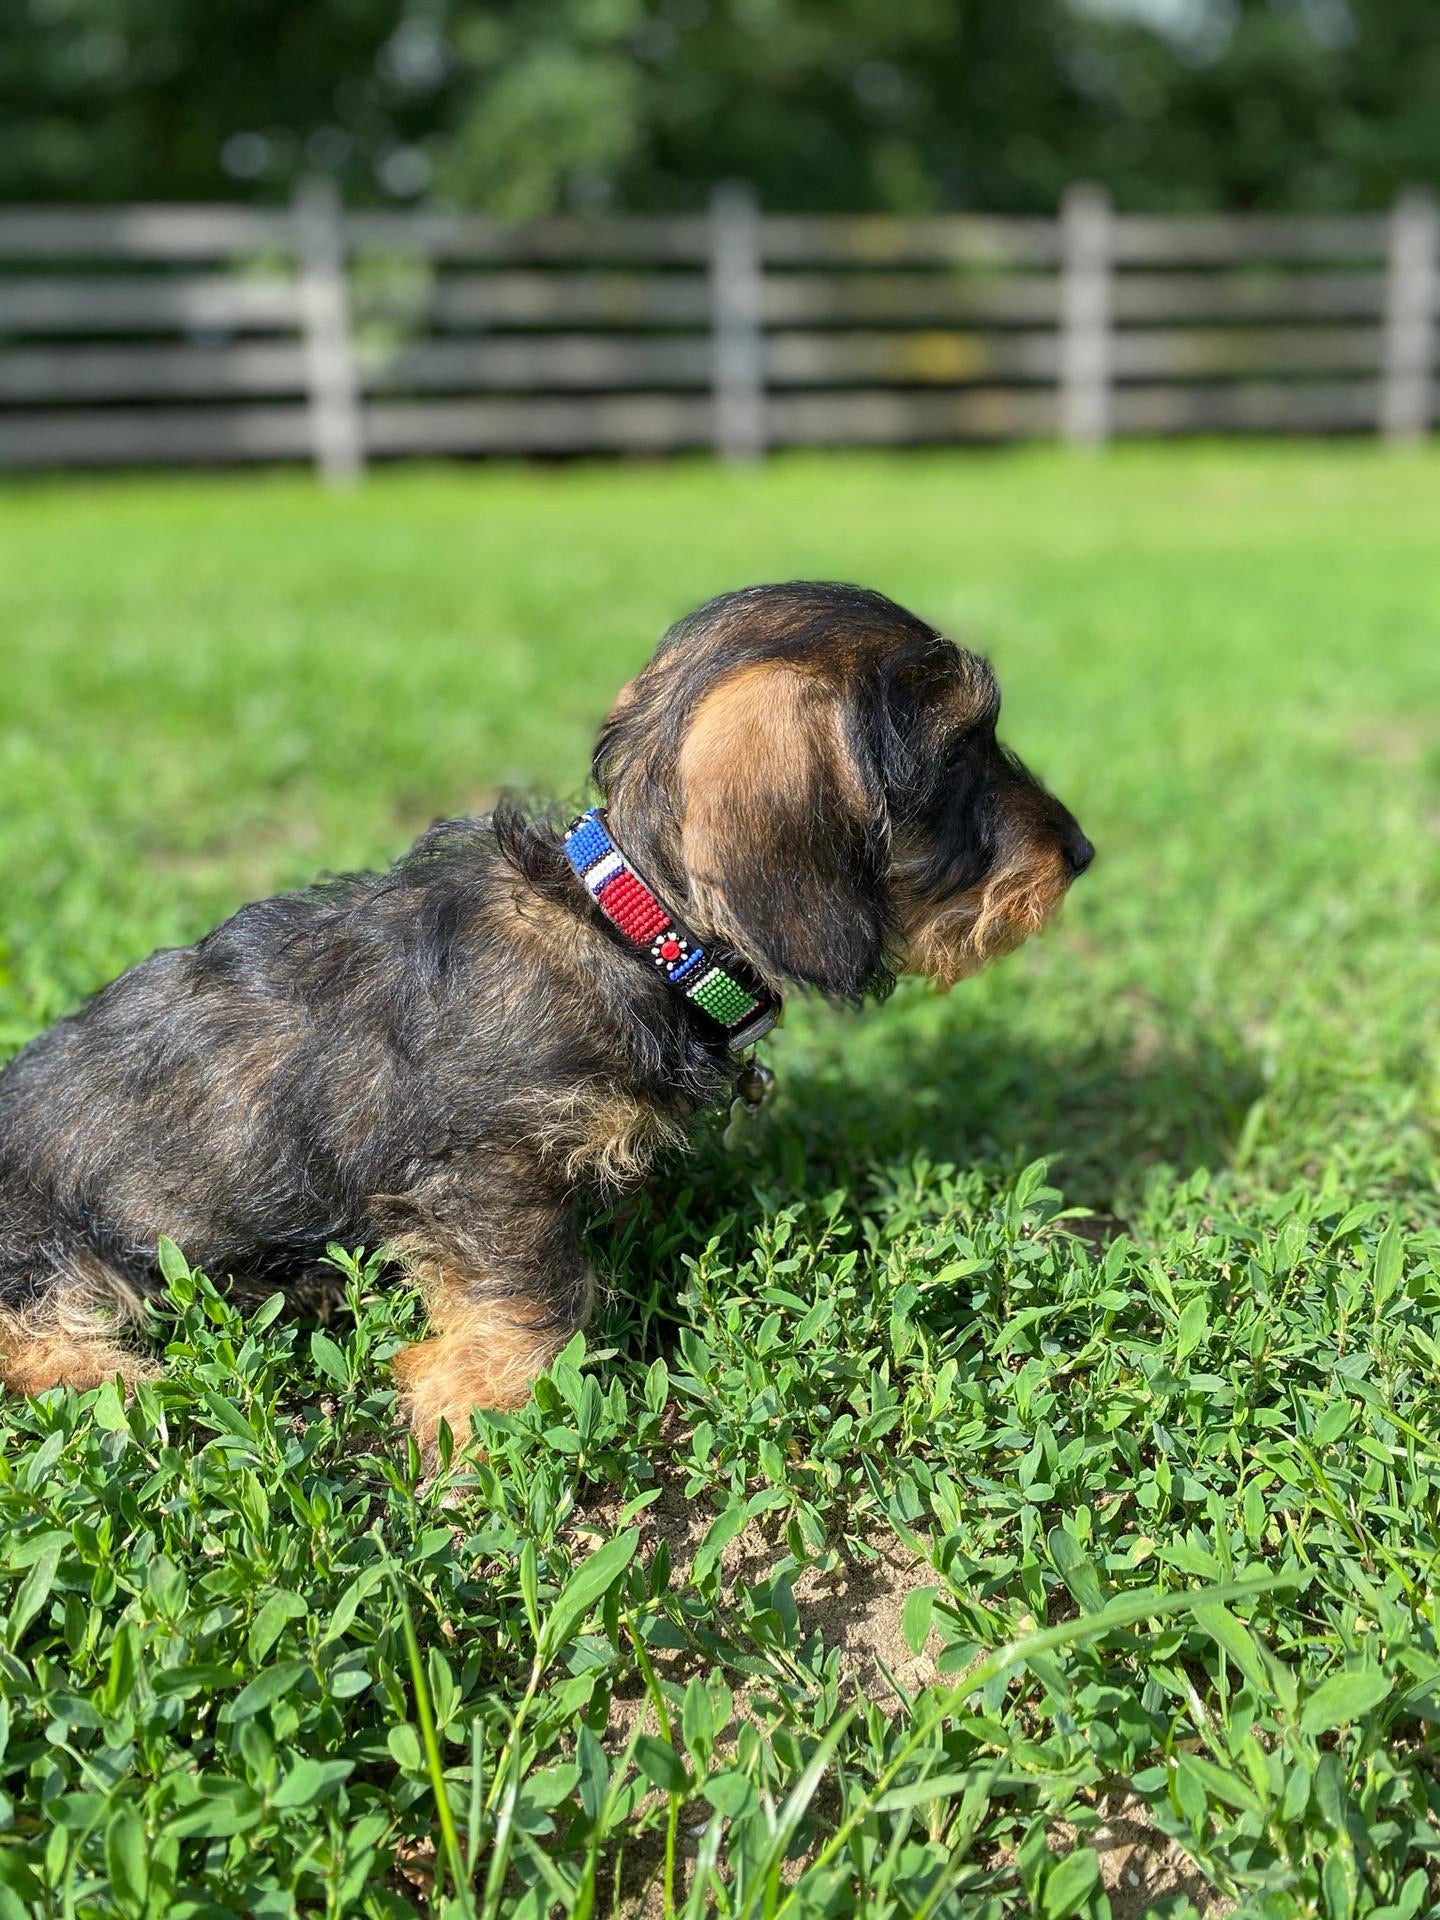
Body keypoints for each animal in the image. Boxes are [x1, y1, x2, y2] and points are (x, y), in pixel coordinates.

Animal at [0, 576, 1090, 1443]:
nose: (1079, 853)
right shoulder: (486, 1172)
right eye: (957, 754)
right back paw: (114, 1381)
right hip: (56, 1251)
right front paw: (483, 1401)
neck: (630, 930)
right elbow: (538, 1286)